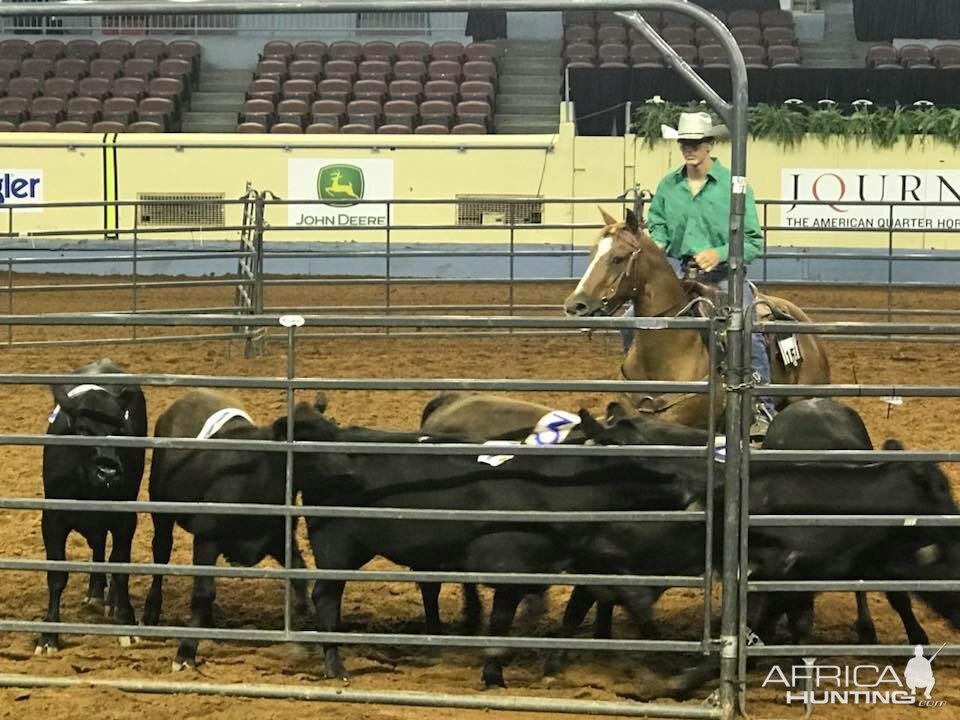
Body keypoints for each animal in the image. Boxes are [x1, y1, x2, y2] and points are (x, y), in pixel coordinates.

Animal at [37, 358, 148, 656]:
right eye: (83, 430)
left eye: (120, 430)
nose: (109, 471)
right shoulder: (52, 519)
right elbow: (56, 576)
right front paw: (48, 636)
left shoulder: (125, 520)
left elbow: (120, 568)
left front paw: (126, 622)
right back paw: (97, 593)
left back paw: (107, 598)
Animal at [139, 390, 342, 672]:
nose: (346, 470)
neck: (258, 476)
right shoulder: (207, 539)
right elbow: (202, 593)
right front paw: (185, 653)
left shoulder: (277, 538)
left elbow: (299, 574)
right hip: (161, 510)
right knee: (161, 554)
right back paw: (150, 614)